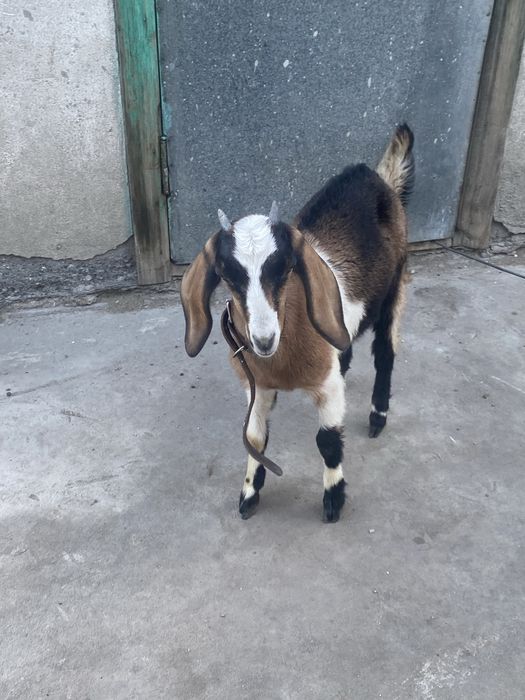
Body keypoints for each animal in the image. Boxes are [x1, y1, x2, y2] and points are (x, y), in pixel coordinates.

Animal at [181, 123, 414, 522]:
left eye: (286, 267)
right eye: (227, 275)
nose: (263, 340)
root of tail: (379, 176)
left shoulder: (326, 387)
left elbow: (328, 440)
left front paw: (333, 499)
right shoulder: (256, 387)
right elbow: (254, 438)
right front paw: (249, 493)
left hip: (396, 284)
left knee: (385, 352)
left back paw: (378, 415)